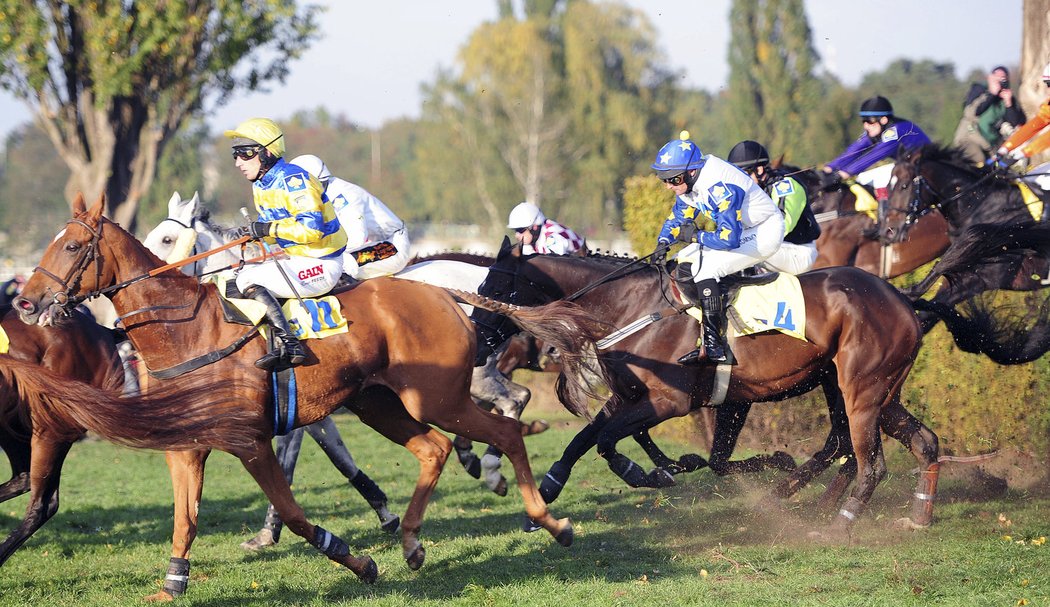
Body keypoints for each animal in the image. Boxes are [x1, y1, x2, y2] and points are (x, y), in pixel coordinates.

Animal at [10, 192, 609, 596]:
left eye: (72, 245)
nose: (26, 301)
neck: (188, 330)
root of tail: (442, 293)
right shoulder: (187, 443)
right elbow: (186, 520)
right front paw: (173, 583)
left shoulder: (250, 439)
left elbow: (295, 511)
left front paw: (353, 558)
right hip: (381, 404)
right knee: (435, 448)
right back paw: (413, 538)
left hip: (439, 397)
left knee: (505, 427)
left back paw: (547, 519)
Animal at [472, 238, 940, 531]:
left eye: (493, 287)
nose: (475, 342)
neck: (630, 307)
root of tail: (901, 298)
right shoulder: (630, 397)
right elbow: (583, 439)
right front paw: (546, 491)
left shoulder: (669, 401)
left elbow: (606, 441)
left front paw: (649, 473)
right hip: (872, 392)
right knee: (920, 442)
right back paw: (914, 517)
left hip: (861, 389)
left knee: (868, 461)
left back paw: (835, 523)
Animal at [877, 142, 1050, 331]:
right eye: (888, 187)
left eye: (904, 186)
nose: (887, 231)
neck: (979, 206)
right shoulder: (962, 278)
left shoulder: (984, 278)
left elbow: (941, 270)